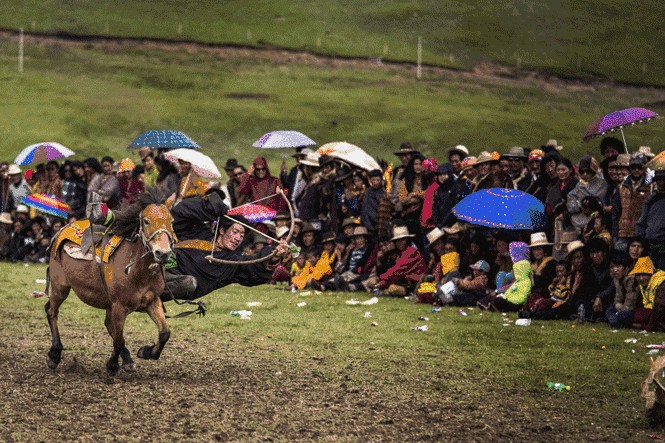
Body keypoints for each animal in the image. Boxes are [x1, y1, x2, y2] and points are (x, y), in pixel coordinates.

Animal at [46, 189, 176, 376]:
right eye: (146, 221)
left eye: (171, 221)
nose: (163, 253)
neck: (137, 270)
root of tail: (62, 229)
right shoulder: (119, 306)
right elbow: (119, 340)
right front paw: (113, 365)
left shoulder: (152, 301)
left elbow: (165, 332)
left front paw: (146, 352)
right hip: (60, 287)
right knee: (51, 311)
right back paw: (55, 354)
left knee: (108, 324)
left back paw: (128, 360)